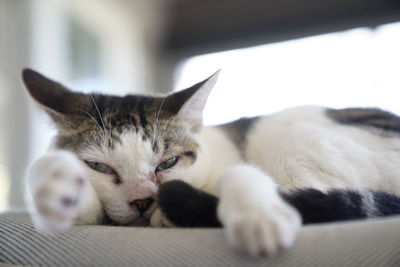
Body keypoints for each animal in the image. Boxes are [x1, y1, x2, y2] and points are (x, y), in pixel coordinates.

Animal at [21, 68, 400, 258]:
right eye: (100, 167)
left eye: (168, 162)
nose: (143, 201)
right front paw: (55, 186)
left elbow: (241, 174)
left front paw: (257, 218)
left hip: (283, 130)